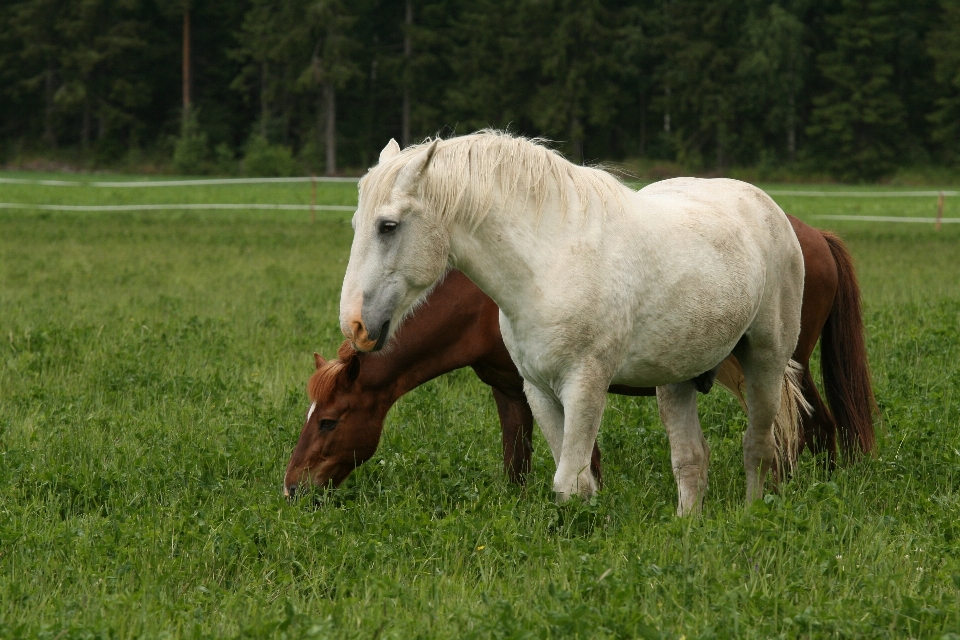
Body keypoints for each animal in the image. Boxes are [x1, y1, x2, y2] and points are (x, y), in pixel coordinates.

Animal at [282, 215, 872, 496]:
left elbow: (582, 460)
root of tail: (813, 235)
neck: (486, 299)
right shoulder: (512, 388)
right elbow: (518, 461)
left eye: (330, 420)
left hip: (783, 364)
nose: (292, 487)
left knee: (812, 428)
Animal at [338, 130, 804, 516]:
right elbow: (578, 482)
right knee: (691, 459)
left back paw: (751, 515)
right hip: (676, 378)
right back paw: (687, 525)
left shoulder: (584, 386)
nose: (355, 325)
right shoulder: (538, 390)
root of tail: (767, 207)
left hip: (765, 361)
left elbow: (570, 485)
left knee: (758, 446)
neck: (549, 264)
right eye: (357, 225)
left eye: (388, 226)